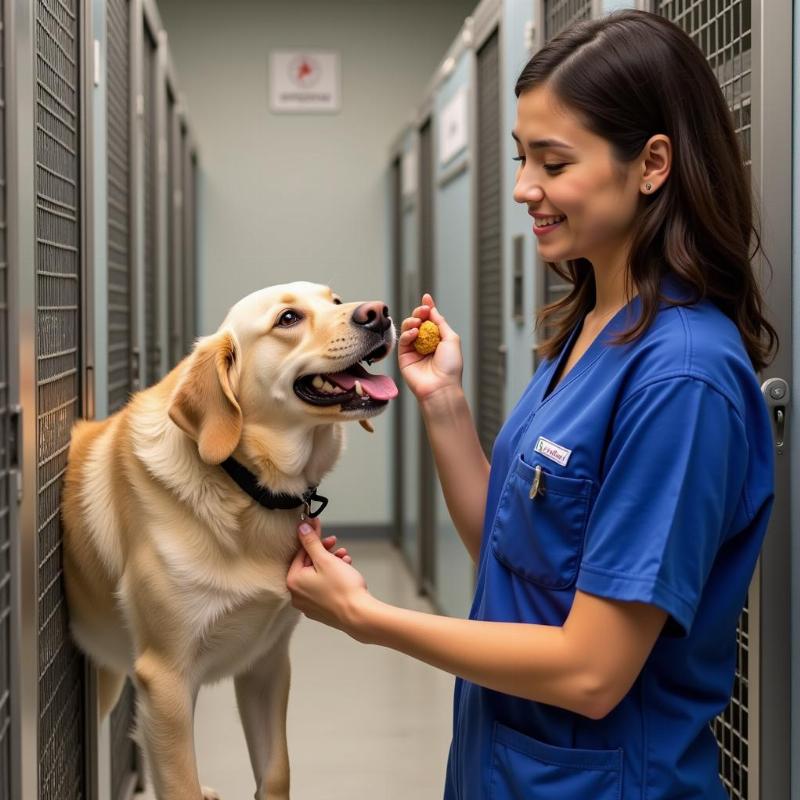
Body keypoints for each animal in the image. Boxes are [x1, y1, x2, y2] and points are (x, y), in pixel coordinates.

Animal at [61, 282, 398, 800]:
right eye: (287, 319)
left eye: (336, 300)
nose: (378, 313)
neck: (246, 485)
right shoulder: (166, 680)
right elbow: (179, 783)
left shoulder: (267, 665)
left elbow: (275, 771)